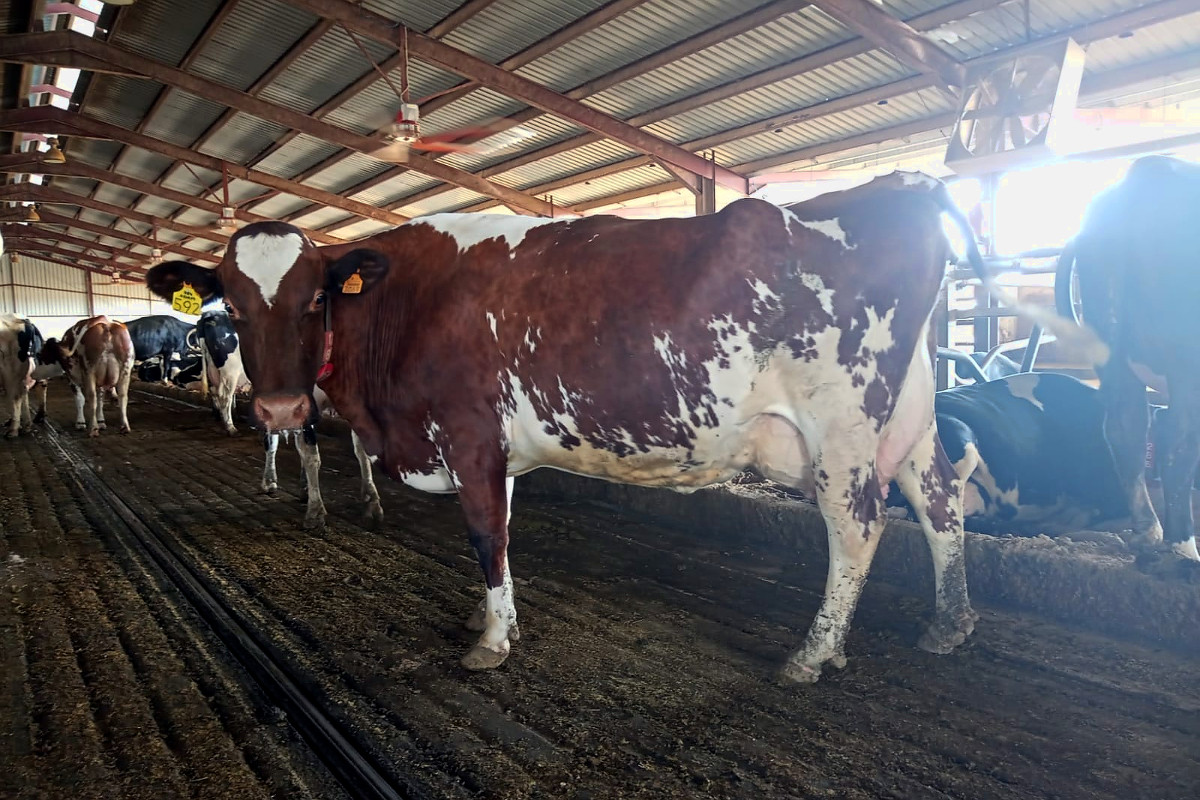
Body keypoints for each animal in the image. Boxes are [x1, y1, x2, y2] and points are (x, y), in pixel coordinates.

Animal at [146, 172, 990, 683]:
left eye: (316, 297)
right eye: (230, 303)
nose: (282, 413)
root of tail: (902, 181)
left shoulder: (470, 436)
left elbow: (486, 533)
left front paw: (491, 640)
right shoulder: (495, 450)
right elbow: (502, 533)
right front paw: (490, 613)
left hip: (843, 428)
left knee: (858, 527)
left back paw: (814, 653)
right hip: (909, 417)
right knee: (940, 503)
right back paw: (950, 624)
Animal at [1056, 155, 1200, 562]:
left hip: (1112, 353)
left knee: (1127, 428)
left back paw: (1149, 533)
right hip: (1187, 356)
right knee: (1177, 438)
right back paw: (1183, 548)